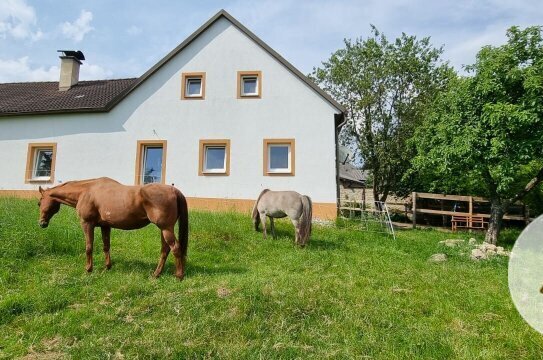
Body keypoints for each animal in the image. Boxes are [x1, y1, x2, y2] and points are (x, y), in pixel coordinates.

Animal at [36, 176, 189, 280]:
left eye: (39, 202)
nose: (42, 223)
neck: (86, 191)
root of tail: (174, 190)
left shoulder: (87, 224)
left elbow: (89, 247)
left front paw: (88, 269)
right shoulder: (105, 226)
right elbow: (106, 246)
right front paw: (107, 267)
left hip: (166, 228)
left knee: (175, 248)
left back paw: (179, 275)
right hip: (164, 229)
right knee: (165, 250)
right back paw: (157, 274)